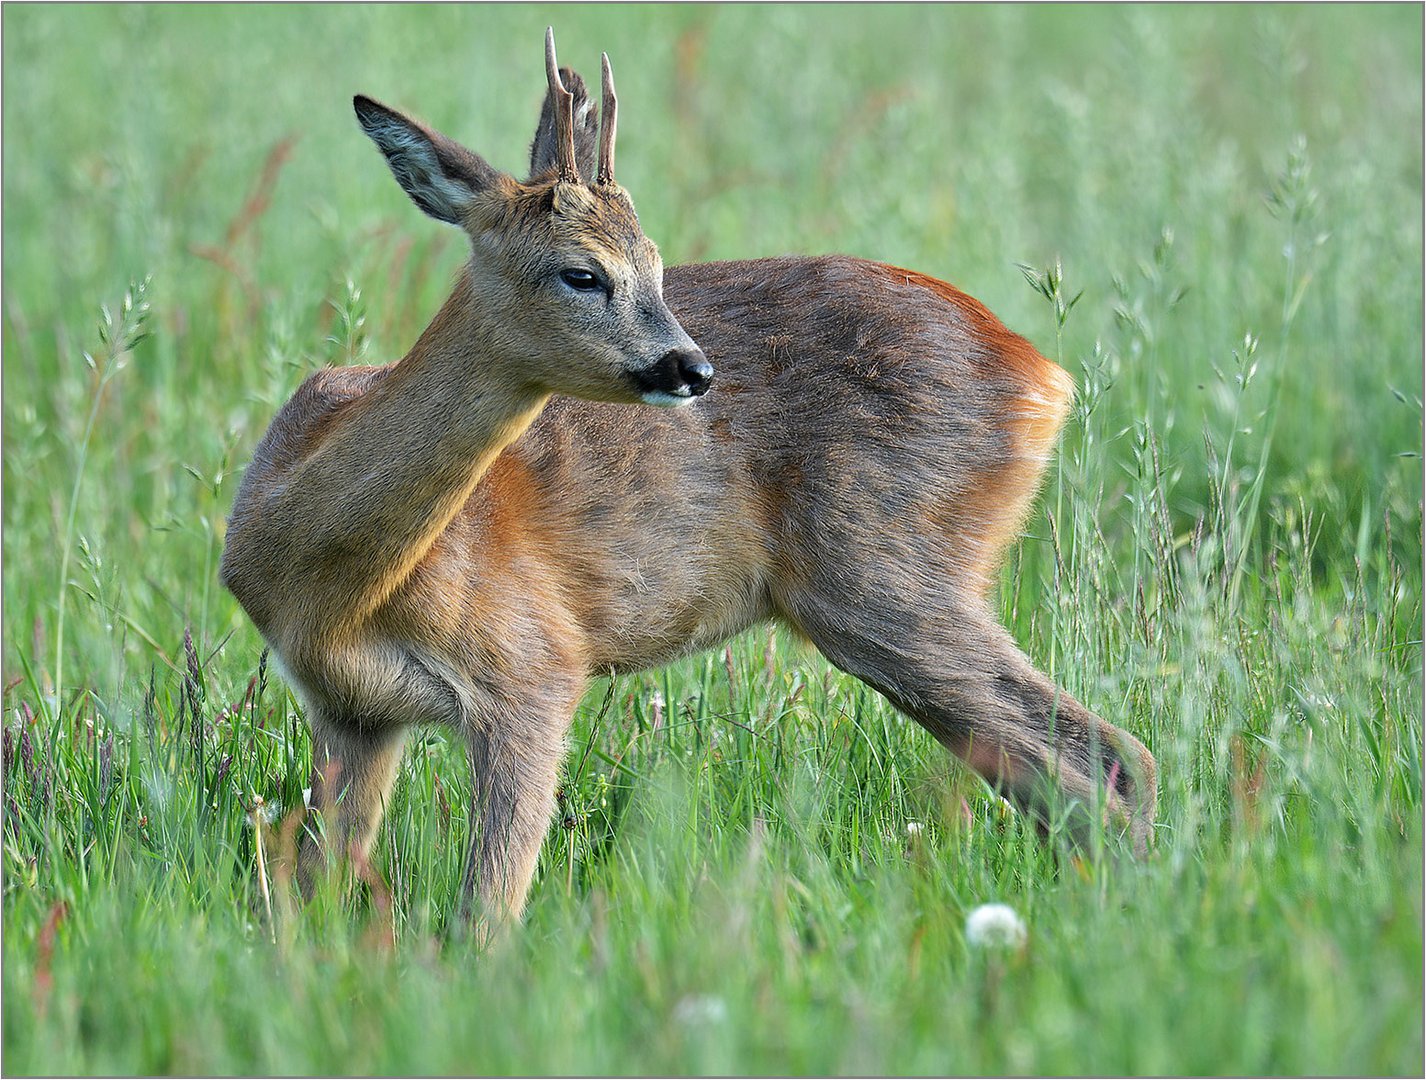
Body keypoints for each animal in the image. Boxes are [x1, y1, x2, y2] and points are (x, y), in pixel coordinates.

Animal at [222, 31, 1157, 924]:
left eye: (657, 265)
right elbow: (315, 891)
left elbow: (486, 912)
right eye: (583, 272)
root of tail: (1044, 375)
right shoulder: (351, 712)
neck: (325, 570)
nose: (691, 367)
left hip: (885, 571)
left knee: (1114, 759)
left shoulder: (535, 667)